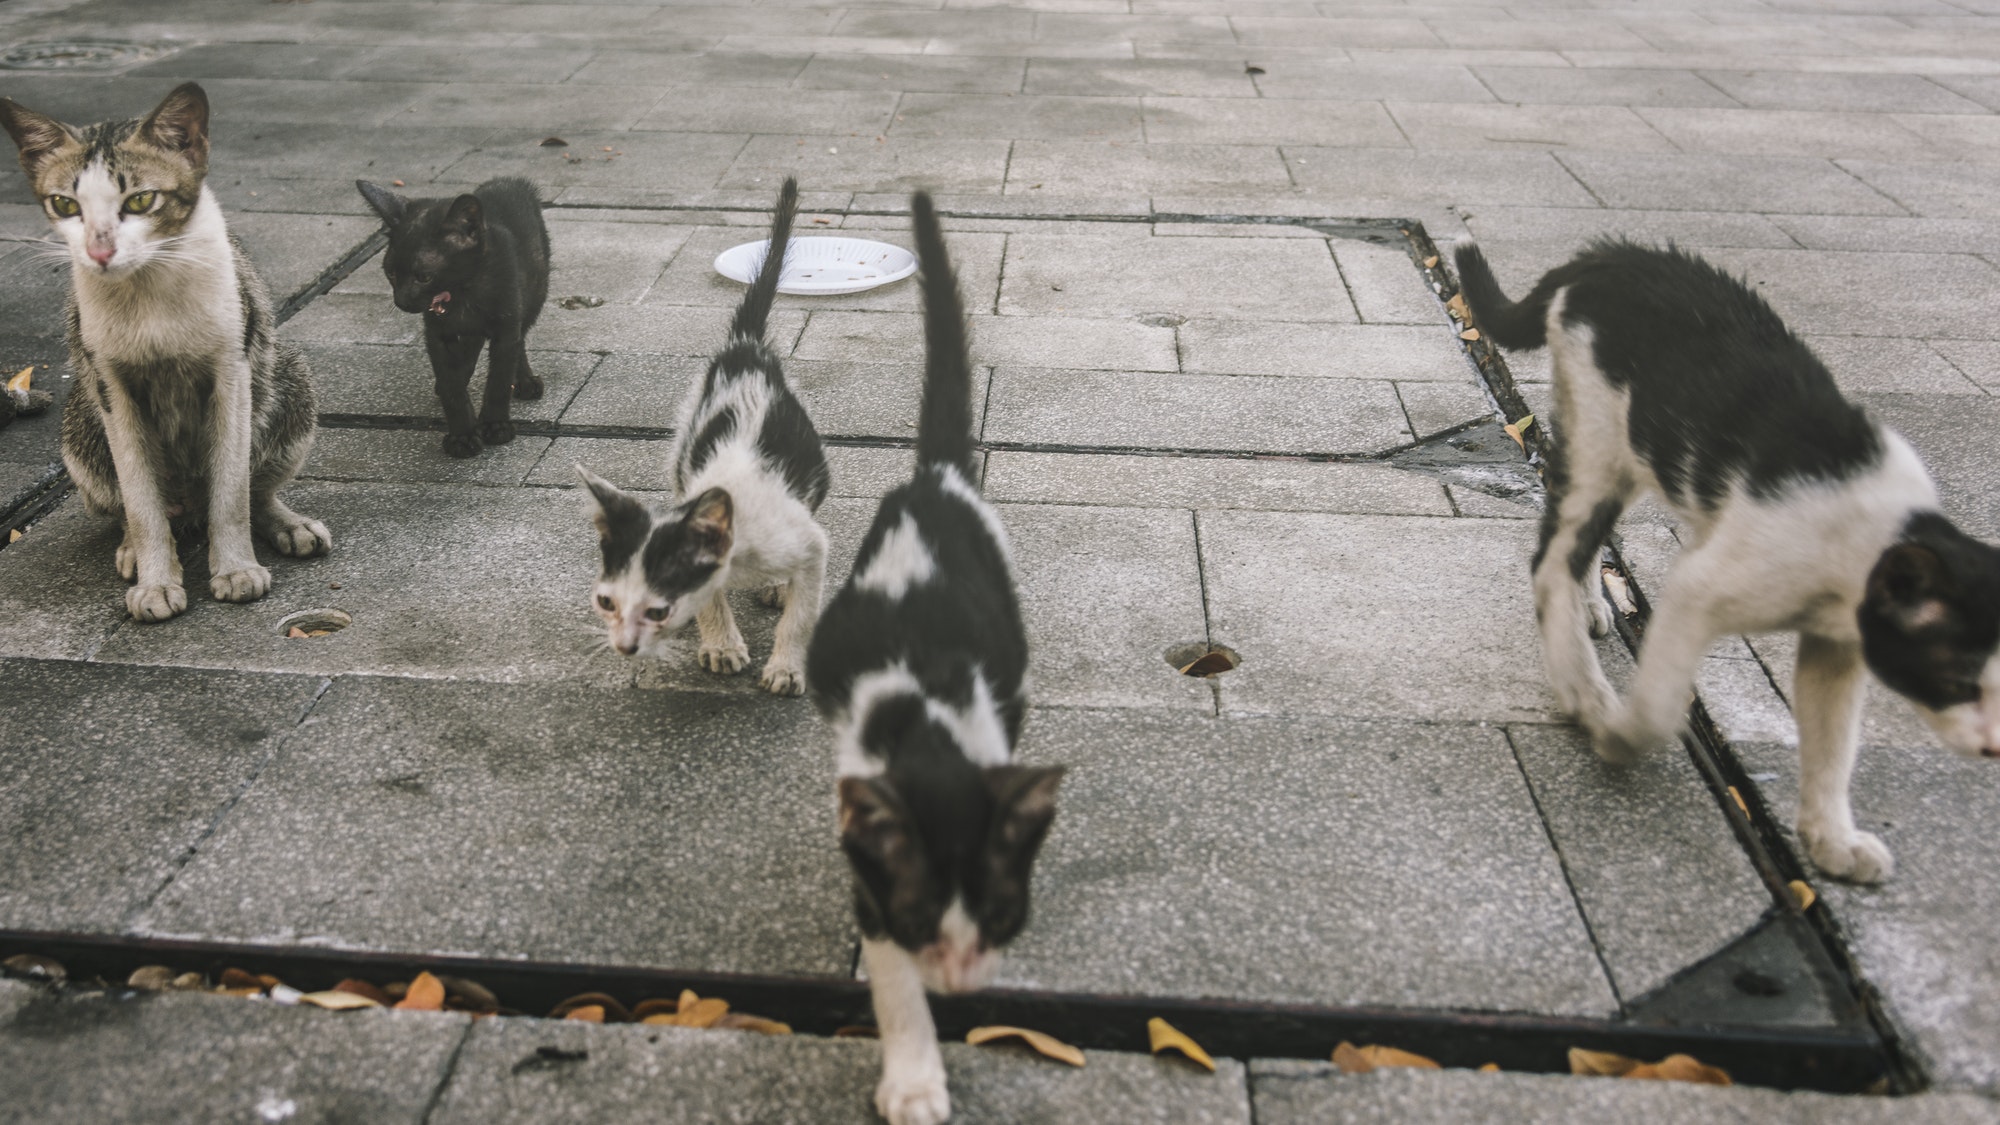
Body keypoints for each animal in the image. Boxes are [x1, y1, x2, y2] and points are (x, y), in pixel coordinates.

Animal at [0, 81, 328, 620]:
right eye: (66, 206)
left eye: (141, 199)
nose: (99, 251)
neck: (147, 288)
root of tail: (190, 510)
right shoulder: (110, 386)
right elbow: (139, 497)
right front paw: (156, 578)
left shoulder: (232, 371)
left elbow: (232, 490)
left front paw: (235, 567)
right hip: (80, 423)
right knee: (130, 501)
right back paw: (135, 546)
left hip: (289, 374)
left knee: (253, 484)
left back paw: (285, 522)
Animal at [348, 175, 544, 456]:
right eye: (391, 273)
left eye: (424, 276)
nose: (401, 301)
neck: (461, 291)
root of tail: (508, 180)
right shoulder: (436, 333)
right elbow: (452, 384)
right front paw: (462, 436)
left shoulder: (506, 326)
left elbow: (500, 377)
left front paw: (495, 425)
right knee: (472, 344)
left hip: (535, 293)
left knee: (519, 337)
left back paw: (525, 381)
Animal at [580, 175, 828, 692]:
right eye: (606, 601)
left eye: (657, 610)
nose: (623, 647)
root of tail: (746, 348)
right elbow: (711, 598)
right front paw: (721, 644)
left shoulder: (811, 545)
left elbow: (803, 612)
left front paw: (786, 667)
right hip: (683, 445)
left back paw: (778, 587)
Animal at [808, 192, 1072, 1120]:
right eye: (924, 920)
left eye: (999, 915)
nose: (959, 980)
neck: (924, 721)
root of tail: (936, 479)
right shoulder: (871, 868)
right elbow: (890, 977)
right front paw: (916, 1076)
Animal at [1456, 236, 2000, 884]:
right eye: (1959, 680)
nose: (1995, 746)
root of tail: (1610, 254)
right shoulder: (1699, 587)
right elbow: (1661, 704)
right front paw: (1619, 735)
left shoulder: (1835, 648)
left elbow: (1832, 743)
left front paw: (1831, 840)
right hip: (1601, 441)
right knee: (1551, 558)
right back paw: (1582, 689)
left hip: (1629, 452)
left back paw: (1588, 613)